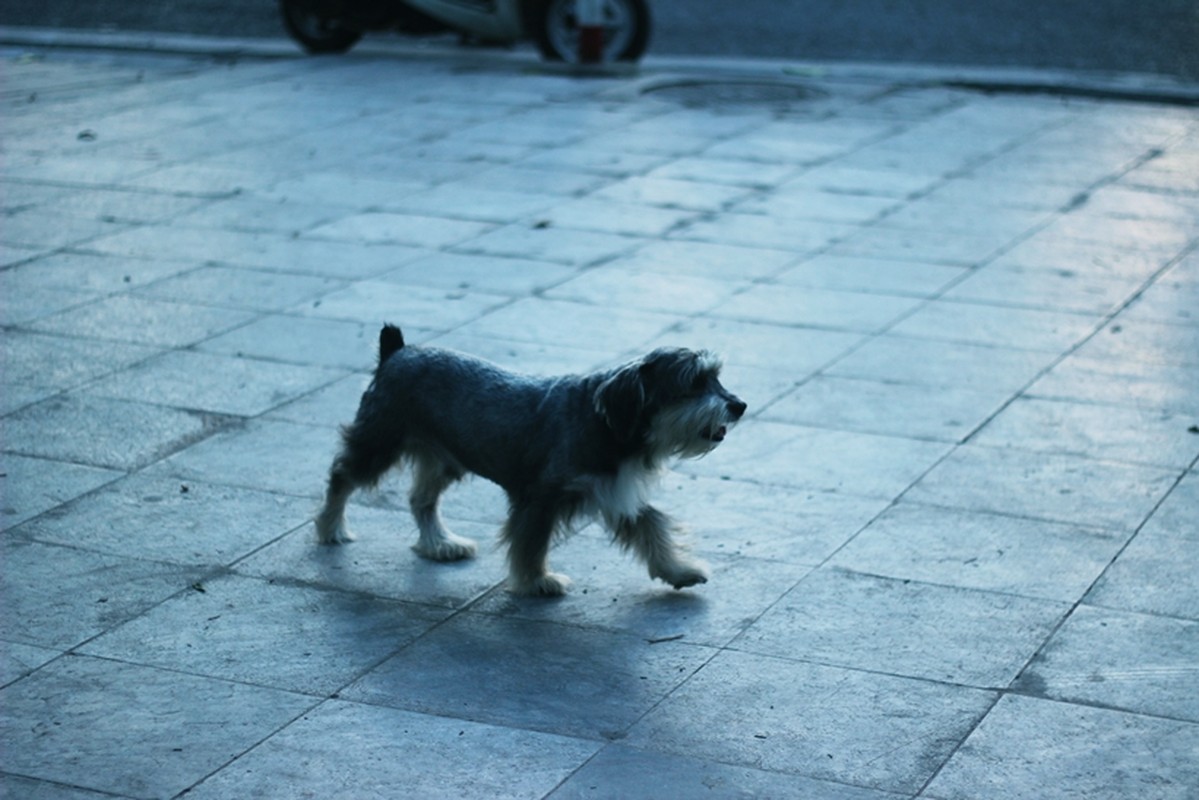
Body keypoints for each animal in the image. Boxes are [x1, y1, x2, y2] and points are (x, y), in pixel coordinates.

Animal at [318, 323, 748, 594]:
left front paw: (680, 570)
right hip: (380, 443)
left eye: (716, 377)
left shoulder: (617, 494)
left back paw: (440, 543)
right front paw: (537, 581)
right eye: (693, 383)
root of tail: (397, 352)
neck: (607, 421)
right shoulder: (542, 499)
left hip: (444, 459)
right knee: (342, 475)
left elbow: (653, 530)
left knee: (420, 499)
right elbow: (531, 544)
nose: (739, 405)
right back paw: (330, 527)